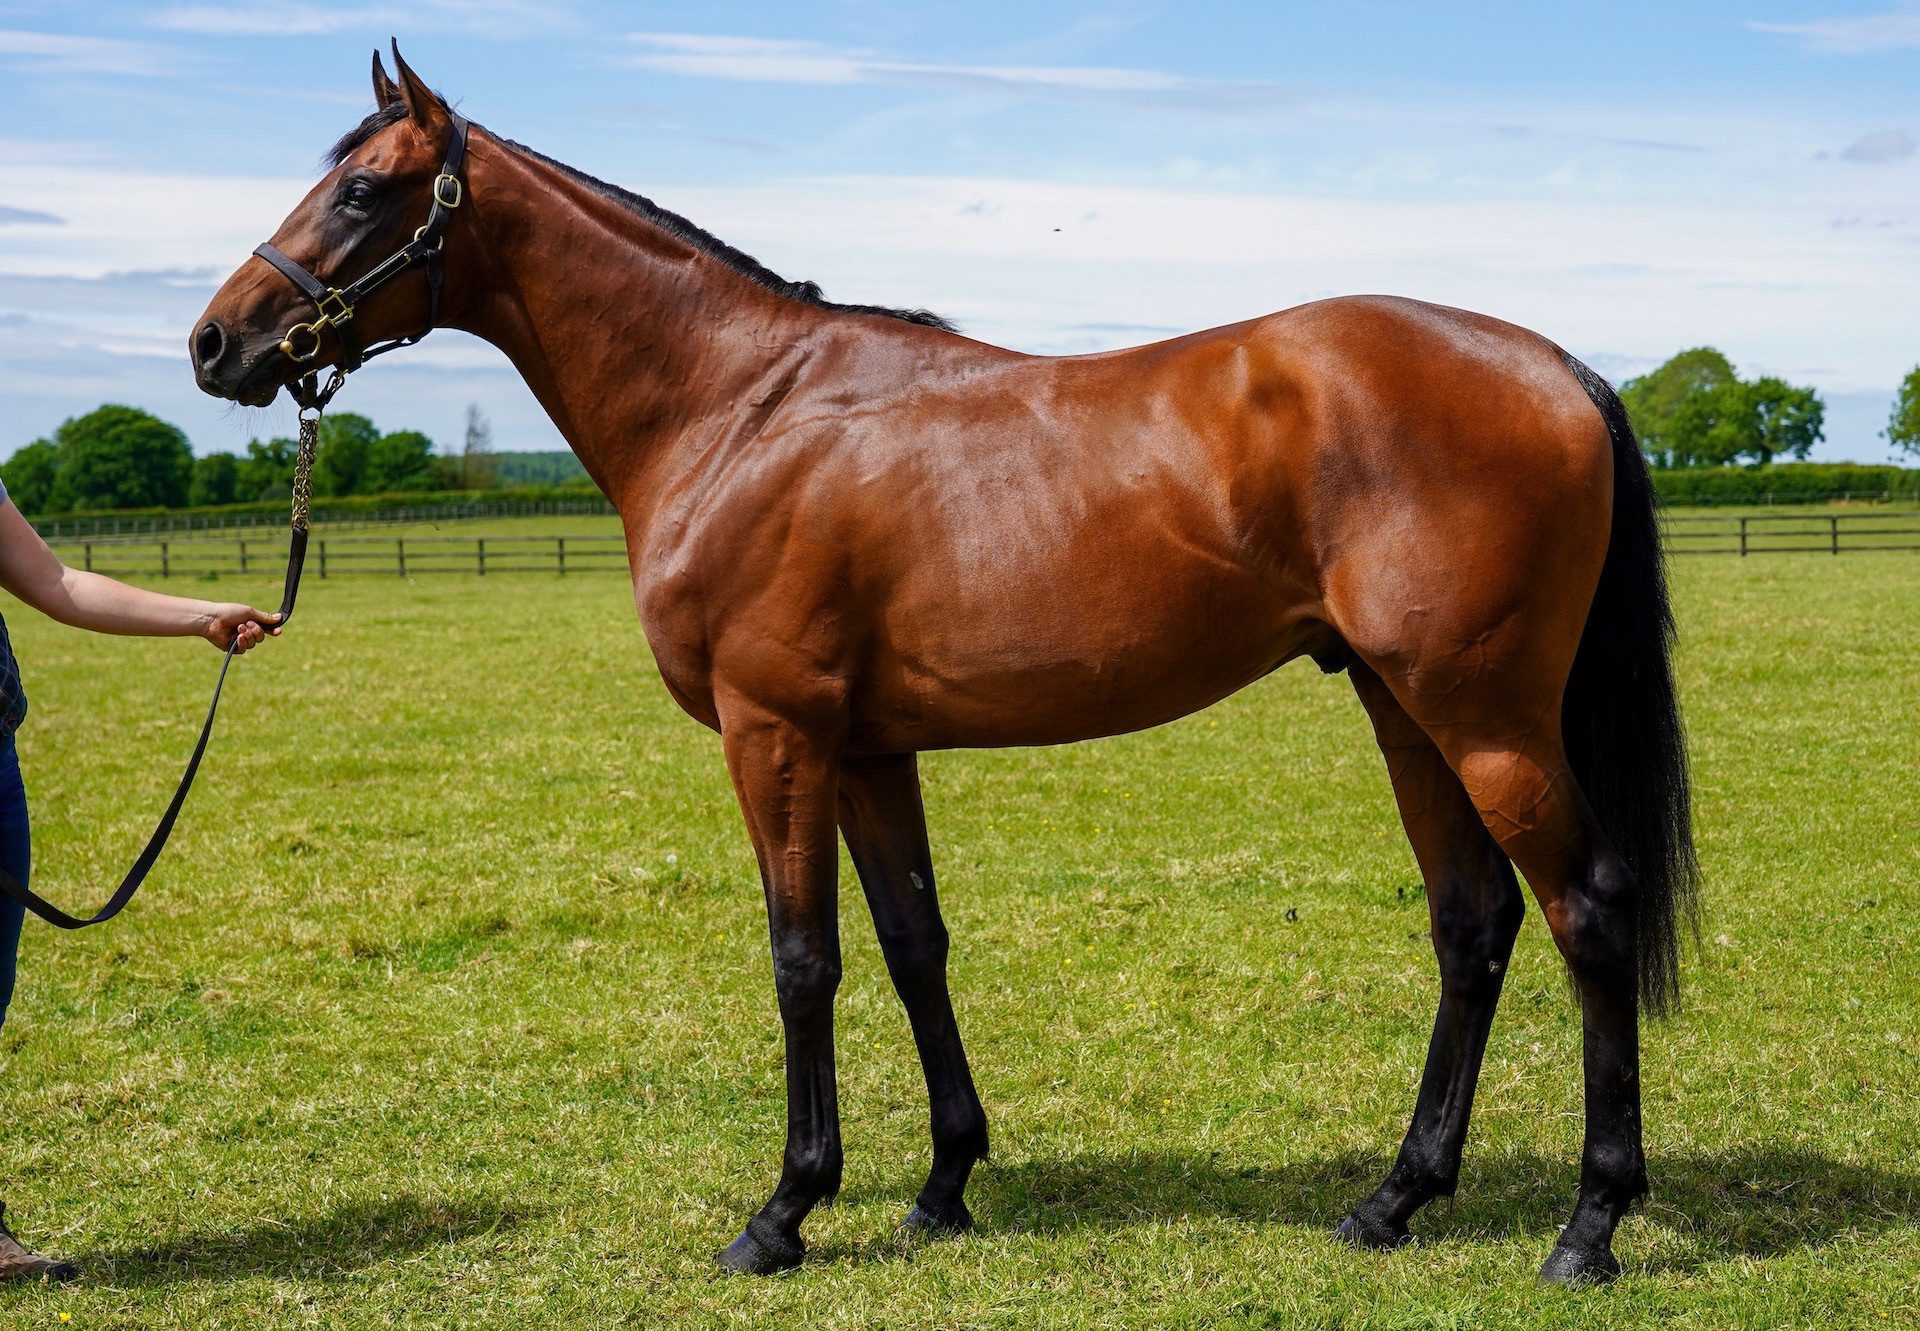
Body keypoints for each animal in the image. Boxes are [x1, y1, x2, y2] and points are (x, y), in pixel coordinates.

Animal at [191, 46, 1697, 1282]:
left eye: (367, 190)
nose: (219, 342)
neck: (740, 410)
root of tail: (1557, 368)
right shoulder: (867, 745)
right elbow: (915, 943)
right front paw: (943, 1184)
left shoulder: (776, 732)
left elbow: (803, 957)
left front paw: (783, 1212)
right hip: (1403, 704)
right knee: (1473, 923)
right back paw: (1395, 1198)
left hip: (1484, 714)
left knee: (1588, 910)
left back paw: (1588, 1225)